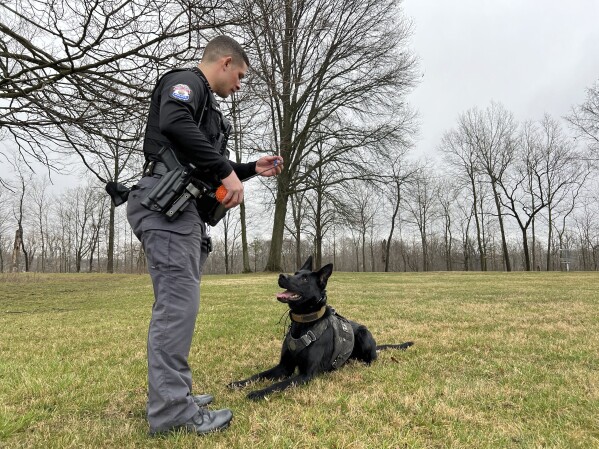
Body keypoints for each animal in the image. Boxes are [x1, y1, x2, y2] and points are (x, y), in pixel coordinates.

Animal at [227, 256, 414, 400]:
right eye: (296, 273)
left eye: (304, 279)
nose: (281, 275)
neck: (303, 324)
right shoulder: (284, 367)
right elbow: (259, 375)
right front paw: (238, 383)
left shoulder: (305, 375)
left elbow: (278, 385)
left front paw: (258, 393)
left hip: (364, 332)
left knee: (372, 358)